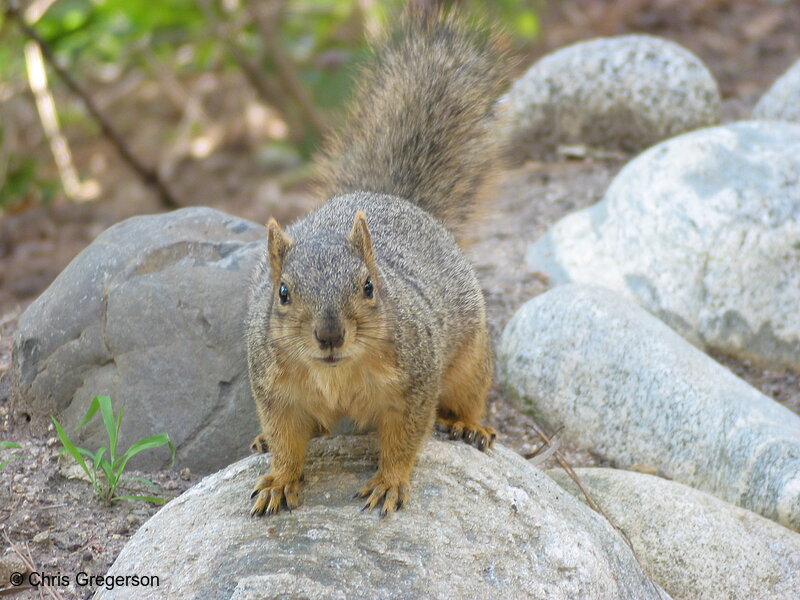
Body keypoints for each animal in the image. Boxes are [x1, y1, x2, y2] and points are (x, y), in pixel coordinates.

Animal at [244, 7, 510, 516]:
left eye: (369, 286)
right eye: (282, 292)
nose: (330, 335)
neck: (336, 373)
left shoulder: (416, 384)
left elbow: (404, 440)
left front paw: (389, 481)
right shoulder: (276, 392)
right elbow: (286, 441)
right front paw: (279, 480)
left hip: (470, 357)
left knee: (469, 393)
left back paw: (469, 424)